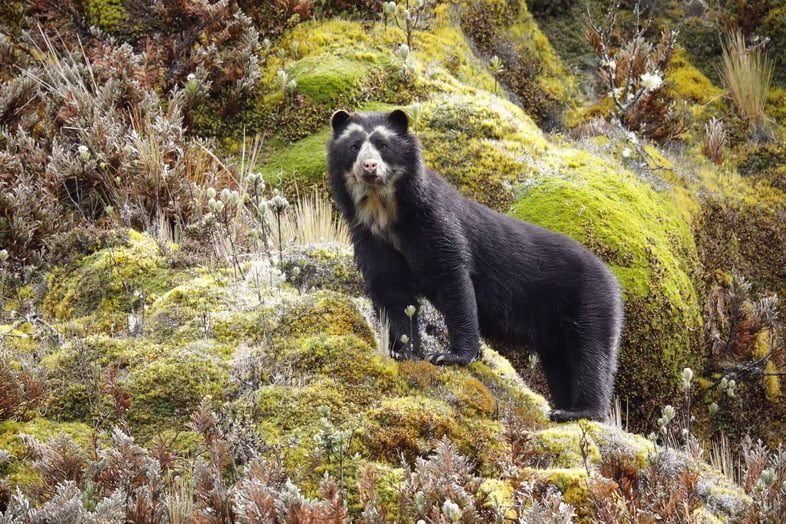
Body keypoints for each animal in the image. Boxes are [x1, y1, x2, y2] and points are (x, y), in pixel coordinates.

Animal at [324, 109, 620, 422]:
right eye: (354, 146)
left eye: (383, 144)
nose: (369, 166)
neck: (384, 212)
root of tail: (612, 277)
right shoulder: (371, 240)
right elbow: (392, 293)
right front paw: (402, 352)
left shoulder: (435, 222)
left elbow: (454, 280)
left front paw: (449, 356)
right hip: (555, 330)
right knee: (562, 365)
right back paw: (562, 407)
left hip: (590, 303)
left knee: (591, 354)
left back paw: (578, 412)